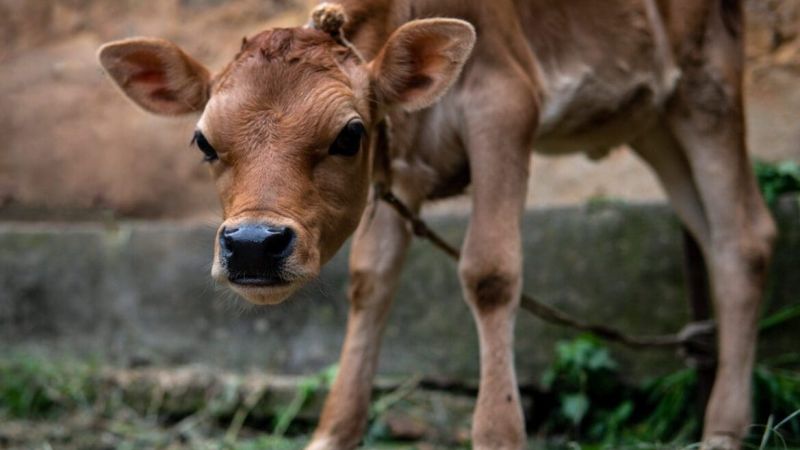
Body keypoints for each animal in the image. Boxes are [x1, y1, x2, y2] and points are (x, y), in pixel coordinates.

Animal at [97, 1, 775, 449]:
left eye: (349, 134)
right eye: (203, 141)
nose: (254, 245)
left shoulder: (506, 103)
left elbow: (491, 274)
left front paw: (499, 432)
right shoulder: (401, 162)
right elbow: (370, 283)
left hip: (708, 80)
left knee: (745, 237)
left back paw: (723, 429)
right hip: (653, 118)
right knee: (712, 233)